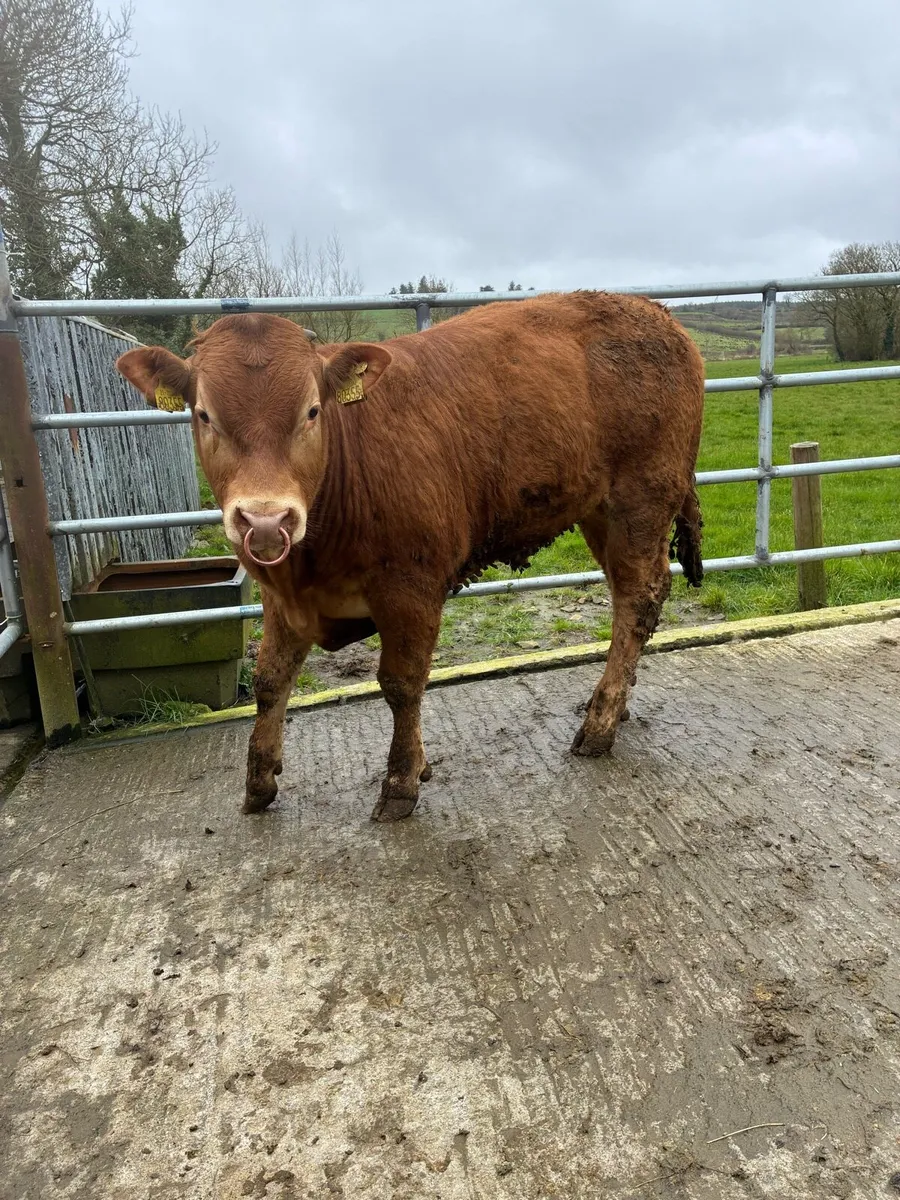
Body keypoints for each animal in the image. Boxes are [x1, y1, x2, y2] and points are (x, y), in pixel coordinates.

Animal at [116, 291, 705, 822]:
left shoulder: (411, 588)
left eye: (312, 411)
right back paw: (615, 708)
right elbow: (269, 680)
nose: (265, 520)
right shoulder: (281, 597)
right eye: (203, 414)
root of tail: (657, 313)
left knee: (637, 599)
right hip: (600, 512)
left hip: (641, 501)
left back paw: (600, 724)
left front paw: (401, 781)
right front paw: (259, 780)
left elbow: (401, 684)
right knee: (632, 598)